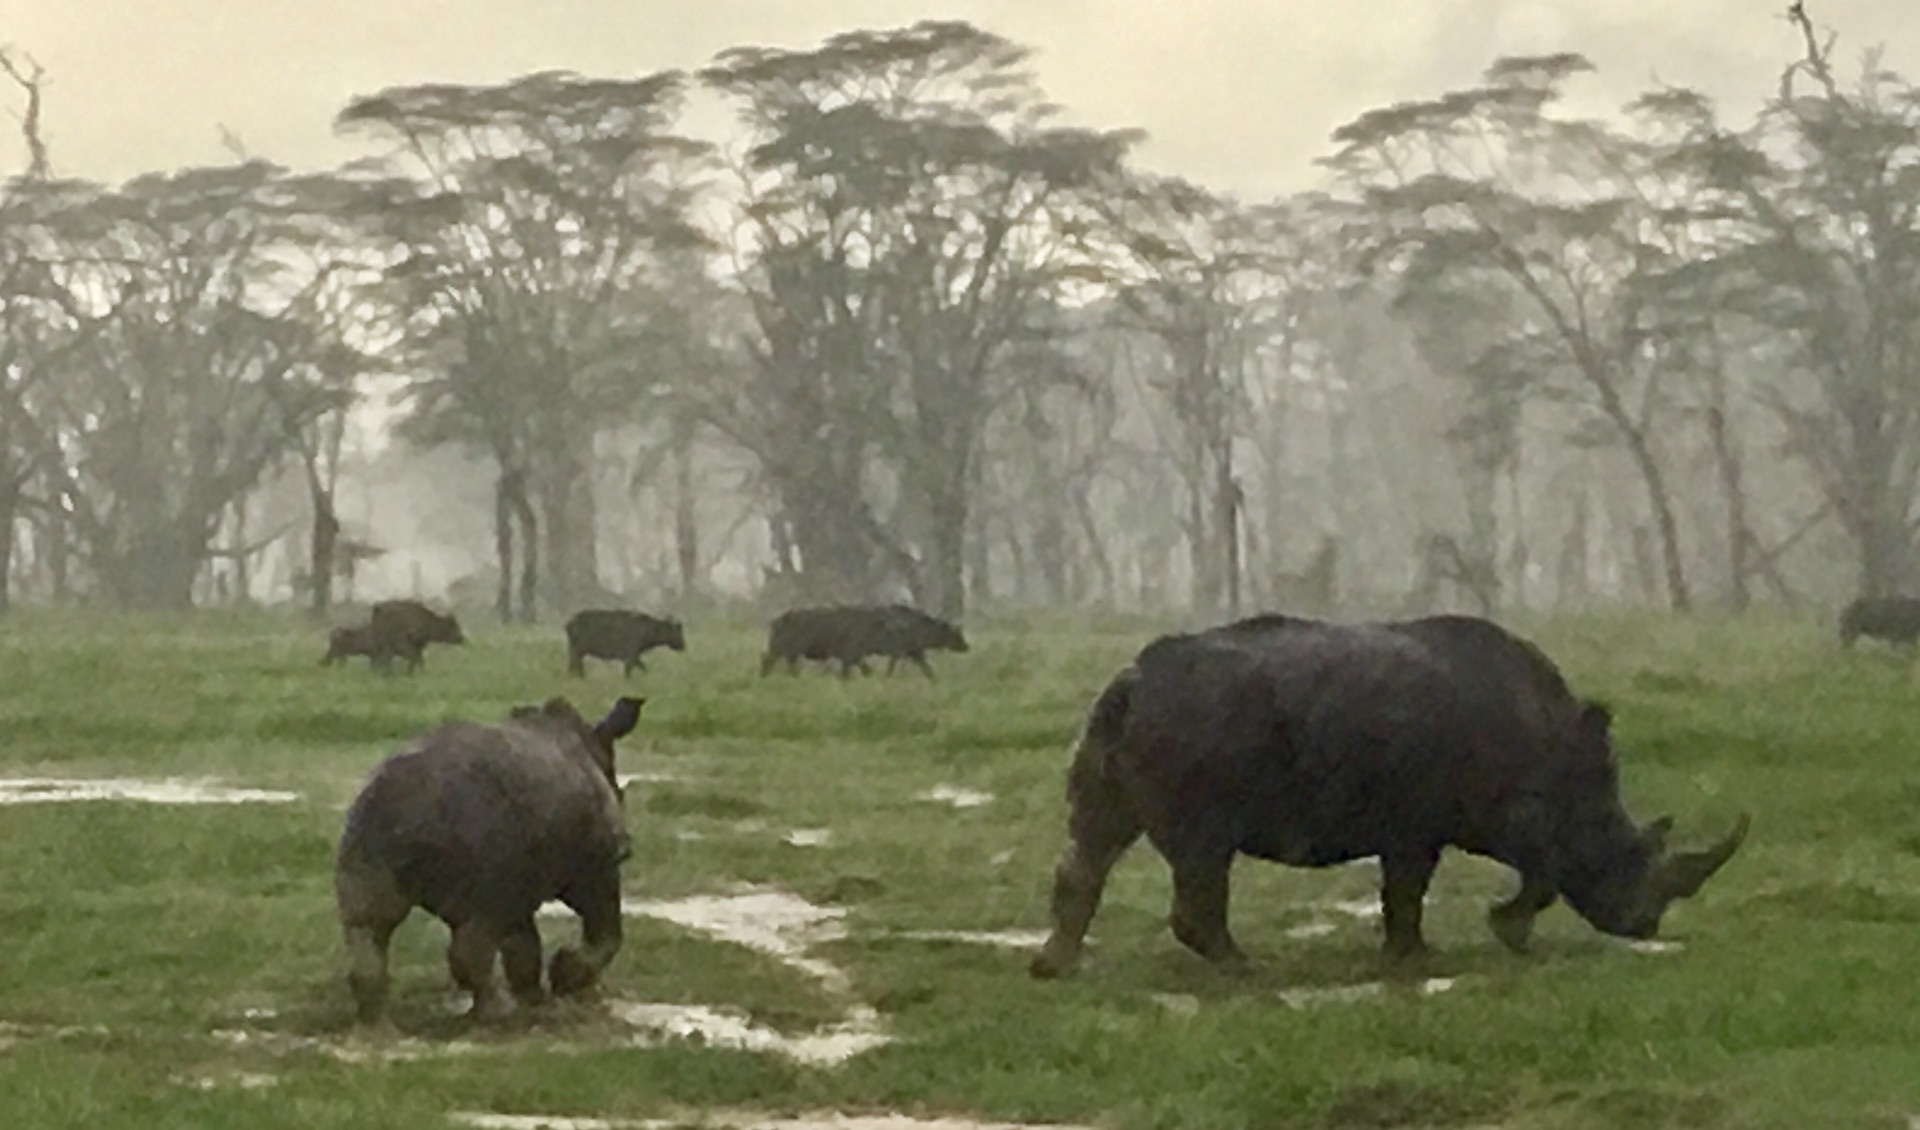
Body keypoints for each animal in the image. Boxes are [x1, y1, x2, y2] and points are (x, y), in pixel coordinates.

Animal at [326, 690, 633, 1020]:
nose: (627, 844)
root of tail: (406, 807)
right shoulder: (595, 867)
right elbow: (606, 930)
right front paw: (565, 979)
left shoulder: (523, 882)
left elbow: (523, 946)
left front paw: (535, 1000)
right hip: (482, 843)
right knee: (476, 932)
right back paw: (499, 1014)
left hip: (364, 833)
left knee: (368, 922)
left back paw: (376, 1022)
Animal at [560, 606, 691, 679]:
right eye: (678, 631)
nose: (683, 645)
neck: (647, 629)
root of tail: (569, 623)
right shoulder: (630, 657)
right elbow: (633, 672)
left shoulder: (634, 657)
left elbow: (643, 668)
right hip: (577, 651)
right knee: (575, 667)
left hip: (575, 652)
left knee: (573, 667)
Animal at [756, 602, 967, 675]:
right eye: (955, 634)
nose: (966, 646)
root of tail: (776, 621)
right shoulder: (853, 654)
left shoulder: (914, 653)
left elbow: (928, 671)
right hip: (781, 649)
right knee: (767, 660)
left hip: (788, 653)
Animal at [1029, 613, 1751, 974]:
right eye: (1625, 852)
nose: (1644, 925)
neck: (1565, 768)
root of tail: (1131, 684)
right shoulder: (1464, 820)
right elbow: (1484, 879)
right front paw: (1493, 937)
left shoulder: (1419, 822)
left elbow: (1405, 889)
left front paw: (1416, 954)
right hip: (1198, 736)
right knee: (1203, 854)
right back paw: (1243, 967)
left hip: (1111, 728)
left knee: (1095, 838)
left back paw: (1054, 968)